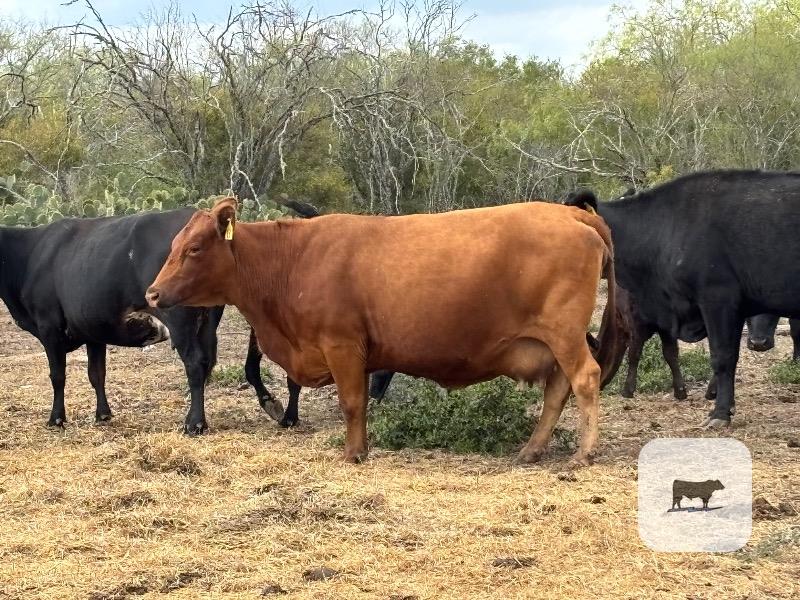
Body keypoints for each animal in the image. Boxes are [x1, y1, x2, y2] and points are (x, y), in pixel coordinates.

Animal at [0, 208, 284, 434]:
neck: (29, 256)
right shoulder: (93, 331)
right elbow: (97, 374)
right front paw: (103, 414)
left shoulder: (49, 327)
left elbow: (57, 375)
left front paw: (56, 419)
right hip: (207, 323)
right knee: (206, 364)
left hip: (180, 321)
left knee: (195, 364)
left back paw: (194, 423)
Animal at [146, 197, 619, 465]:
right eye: (173, 246)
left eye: (194, 249)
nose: (152, 293)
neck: (292, 260)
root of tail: (570, 213)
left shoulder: (343, 346)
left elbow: (353, 403)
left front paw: (354, 453)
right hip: (553, 344)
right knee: (558, 390)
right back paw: (532, 450)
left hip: (564, 335)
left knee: (585, 379)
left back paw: (584, 453)